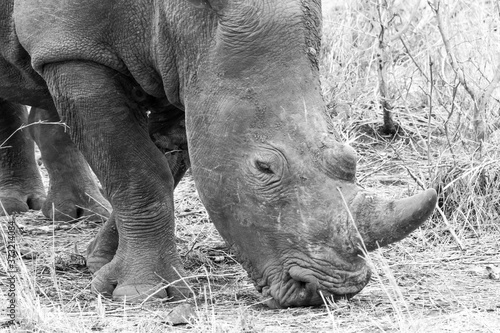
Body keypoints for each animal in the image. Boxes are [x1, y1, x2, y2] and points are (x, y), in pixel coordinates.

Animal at [0, 0, 438, 308]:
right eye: (264, 167)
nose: (328, 291)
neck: (183, 16)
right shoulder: (72, 48)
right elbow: (137, 171)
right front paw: (143, 295)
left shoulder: (186, 65)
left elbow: (166, 164)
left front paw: (100, 262)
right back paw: (18, 207)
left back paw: (76, 213)